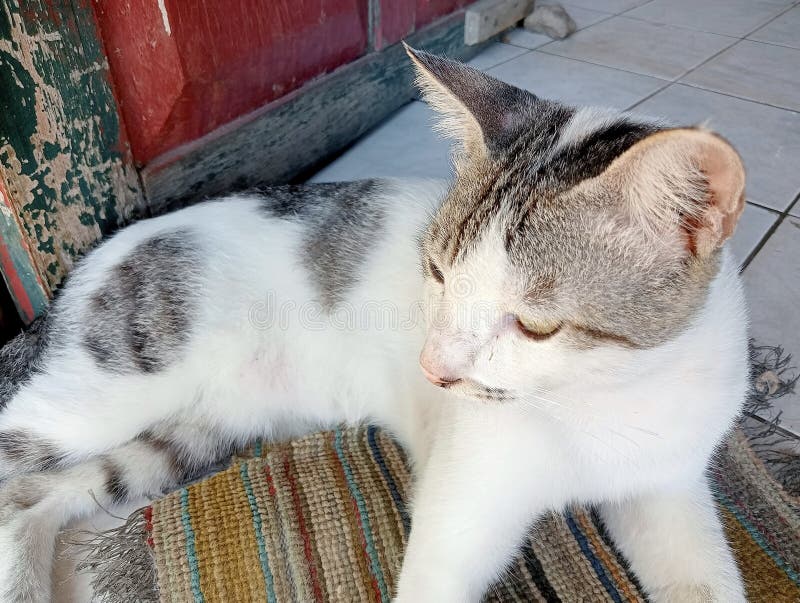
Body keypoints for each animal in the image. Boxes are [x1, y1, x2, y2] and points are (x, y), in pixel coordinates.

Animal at [0, 47, 752, 603]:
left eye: (535, 325)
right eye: (438, 271)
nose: (433, 369)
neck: (604, 402)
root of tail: (98, 253)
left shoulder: (669, 486)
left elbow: (708, 579)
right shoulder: (462, 507)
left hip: (195, 431)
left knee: (27, 498)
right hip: (105, 393)